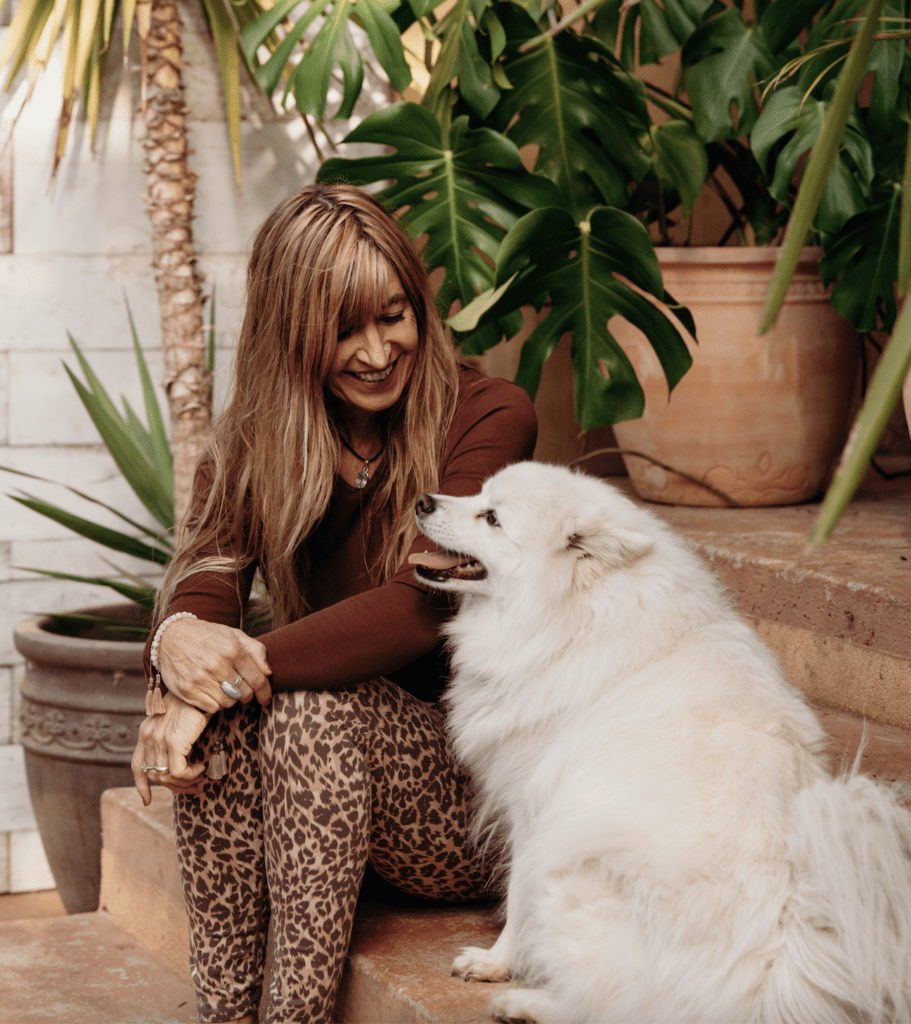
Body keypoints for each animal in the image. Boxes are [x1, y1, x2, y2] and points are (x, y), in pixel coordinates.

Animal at [407, 462, 908, 1024]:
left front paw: (496, 962)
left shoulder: (533, 813)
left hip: (573, 876)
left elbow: (517, 899)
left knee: (617, 1002)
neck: (575, 617)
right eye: (478, 494)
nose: (423, 500)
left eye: (492, 517)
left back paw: (523, 1002)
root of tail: (772, 976)